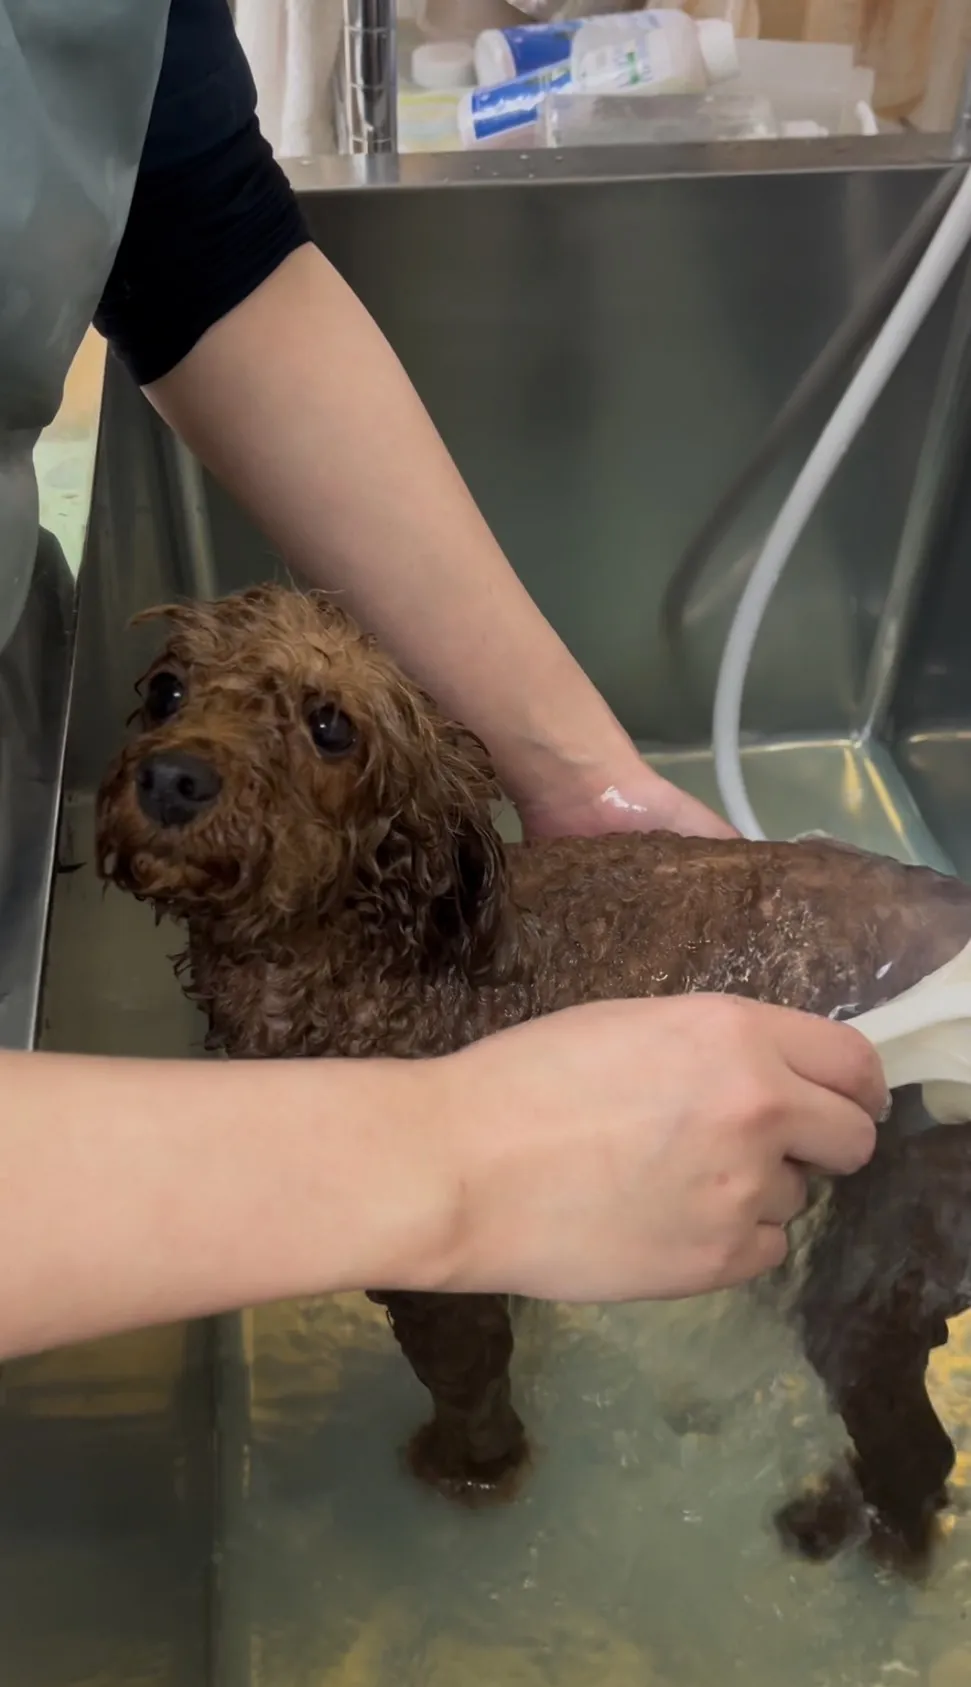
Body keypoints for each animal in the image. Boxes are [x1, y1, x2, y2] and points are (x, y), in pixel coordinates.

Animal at [96, 584, 971, 1573]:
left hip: (883, 1254)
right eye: (166, 690)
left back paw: (870, 1535)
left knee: (915, 1446)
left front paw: (469, 1469)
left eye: (330, 726)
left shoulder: (439, 1277)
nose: (173, 778)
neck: (376, 964)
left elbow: (467, 1384)